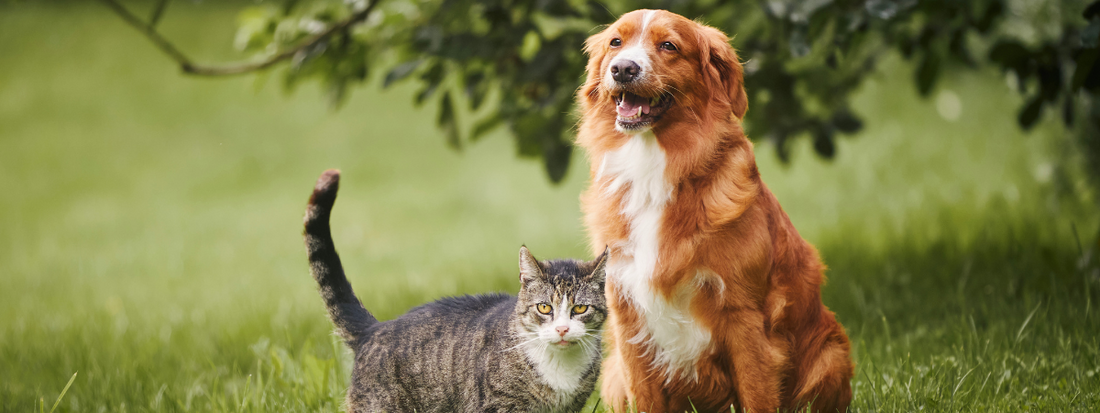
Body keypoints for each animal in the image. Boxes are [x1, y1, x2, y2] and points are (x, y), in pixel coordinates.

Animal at [301, 169, 611, 411]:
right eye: (544, 307)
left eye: (580, 308)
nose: (562, 329)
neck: (560, 369)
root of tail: (375, 329)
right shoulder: (497, 406)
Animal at [576, 9, 858, 413]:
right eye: (616, 42)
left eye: (669, 46)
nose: (623, 68)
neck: (653, 166)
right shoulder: (627, 315)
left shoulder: (744, 316)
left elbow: (757, 395)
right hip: (613, 374)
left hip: (830, 355)